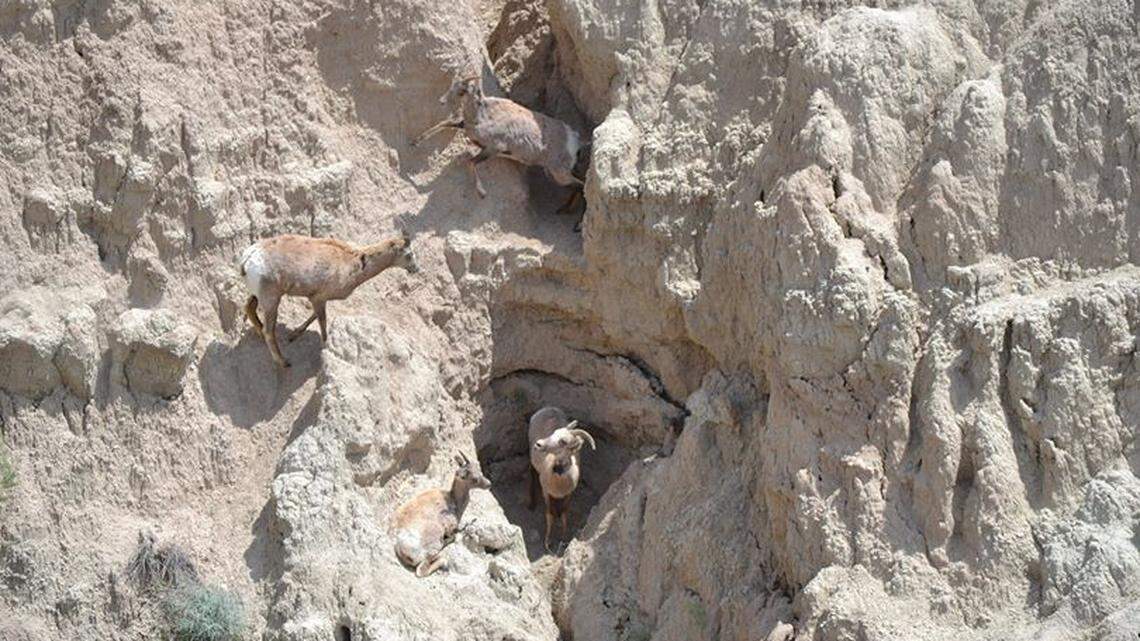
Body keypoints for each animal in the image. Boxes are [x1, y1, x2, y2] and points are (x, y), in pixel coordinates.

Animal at [237, 232, 418, 368]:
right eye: (409, 255)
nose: (416, 269)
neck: (355, 264)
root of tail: (248, 259)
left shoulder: (317, 299)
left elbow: (314, 317)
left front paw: (295, 333)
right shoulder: (319, 299)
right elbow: (322, 324)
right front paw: (325, 347)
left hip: (259, 295)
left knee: (249, 308)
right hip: (271, 301)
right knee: (269, 331)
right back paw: (284, 362)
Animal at [412, 75, 587, 215]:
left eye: (461, 91)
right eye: (451, 86)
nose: (441, 101)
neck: (481, 117)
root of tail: (574, 138)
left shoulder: (492, 149)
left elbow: (470, 162)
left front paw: (482, 193)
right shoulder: (464, 127)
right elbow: (444, 124)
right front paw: (415, 142)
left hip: (559, 174)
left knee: (581, 185)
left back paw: (575, 222)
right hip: (554, 173)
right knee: (578, 185)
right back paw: (564, 210)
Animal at [528, 406, 597, 551]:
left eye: (563, 441)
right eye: (553, 433)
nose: (539, 444)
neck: (559, 483)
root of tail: (548, 408)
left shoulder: (569, 494)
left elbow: (564, 514)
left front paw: (564, 539)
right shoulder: (546, 492)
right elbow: (550, 514)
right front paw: (548, 542)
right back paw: (531, 504)